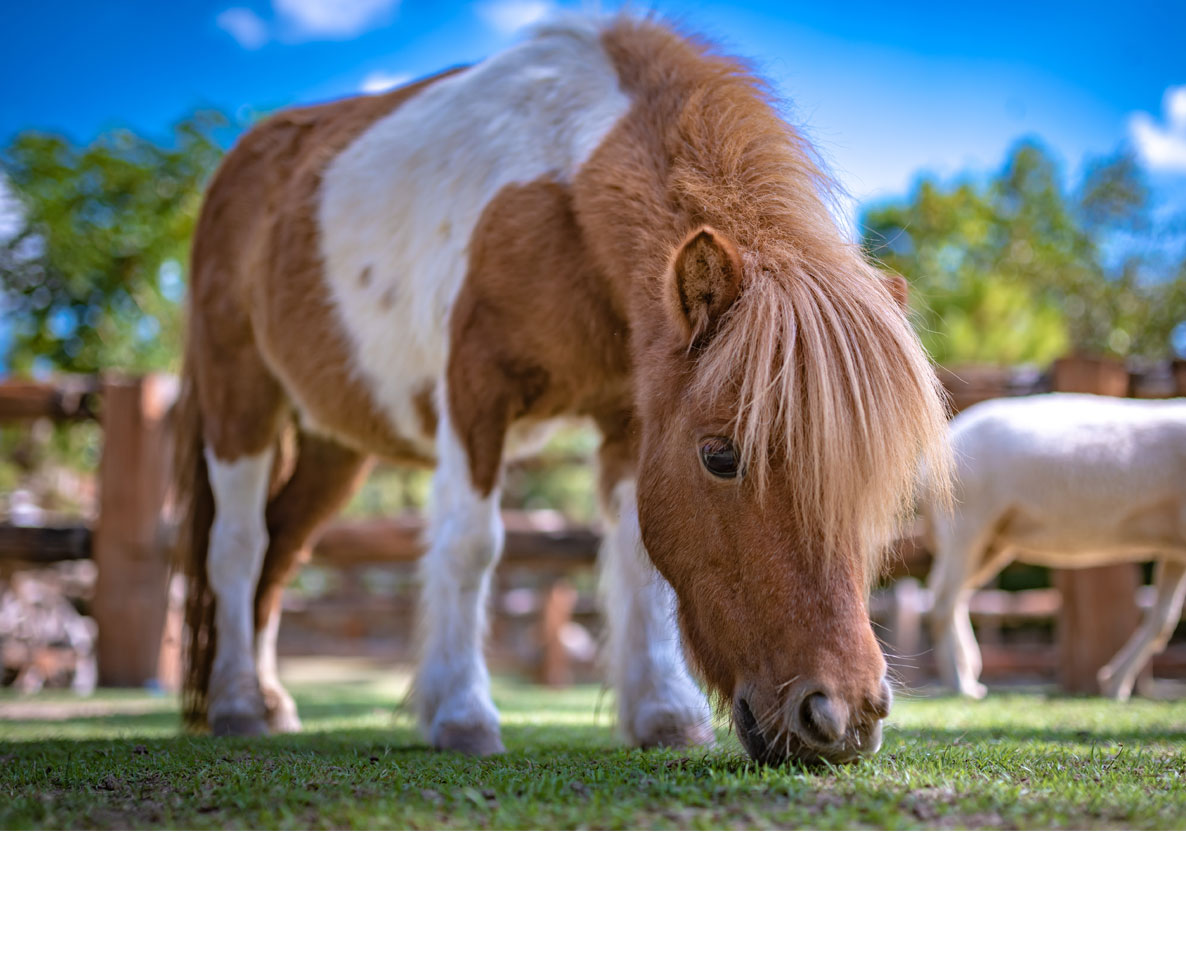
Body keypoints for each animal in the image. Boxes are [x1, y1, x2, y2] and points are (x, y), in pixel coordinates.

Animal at [175, 15, 948, 763]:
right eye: (721, 456)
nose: (842, 716)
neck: (565, 195)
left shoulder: (632, 419)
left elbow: (637, 553)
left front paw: (663, 713)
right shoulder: (474, 398)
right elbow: (470, 546)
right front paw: (462, 715)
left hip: (333, 446)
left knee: (281, 551)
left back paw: (272, 701)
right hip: (239, 398)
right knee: (238, 545)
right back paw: (239, 704)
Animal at [925, 388, 1186, 697]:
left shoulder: (1177, 550)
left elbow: (1162, 620)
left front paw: (1114, 683)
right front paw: (1114, 684)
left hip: (993, 541)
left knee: (953, 594)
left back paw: (970, 672)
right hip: (966, 524)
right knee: (943, 601)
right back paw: (959, 683)